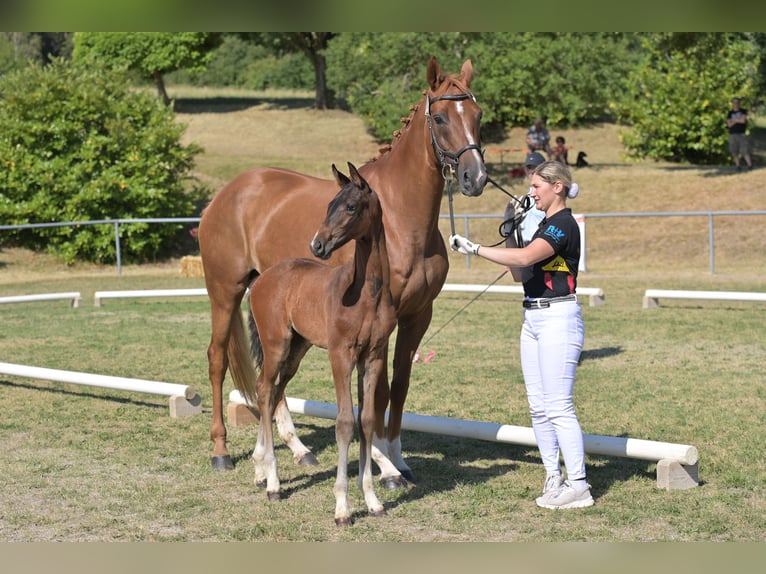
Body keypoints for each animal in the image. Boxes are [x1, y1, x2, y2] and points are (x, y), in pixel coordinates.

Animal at [197, 55, 487, 488]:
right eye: (439, 118)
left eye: (477, 114)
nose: (475, 177)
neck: (400, 216)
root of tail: (226, 194)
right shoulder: (380, 321)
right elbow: (377, 393)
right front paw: (383, 464)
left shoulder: (417, 314)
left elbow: (398, 384)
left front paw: (397, 457)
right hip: (225, 292)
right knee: (219, 360)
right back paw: (221, 451)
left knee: (274, 379)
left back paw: (296, 450)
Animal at [248, 163, 396, 525]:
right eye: (329, 205)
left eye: (351, 207)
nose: (317, 245)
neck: (366, 293)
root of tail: (262, 278)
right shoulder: (341, 355)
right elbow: (344, 423)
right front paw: (342, 507)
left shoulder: (373, 356)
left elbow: (366, 420)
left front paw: (373, 501)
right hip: (276, 345)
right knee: (263, 389)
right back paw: (272, 482)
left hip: (297, 350)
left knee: (273, 392)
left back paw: (260, 470)